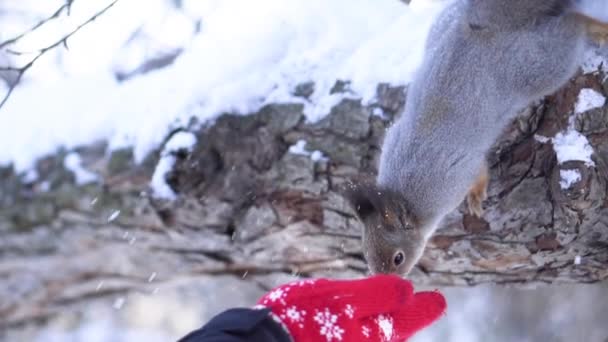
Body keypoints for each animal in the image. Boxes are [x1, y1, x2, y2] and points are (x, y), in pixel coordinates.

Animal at [344, 0, 604, 276]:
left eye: (398, 258)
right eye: (367, 257)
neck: (407, 195)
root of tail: (486, 25)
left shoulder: (454, 176)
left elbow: (479, 172)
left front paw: (476, 196)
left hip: (542, 66)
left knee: (572, 26)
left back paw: (597, 28)